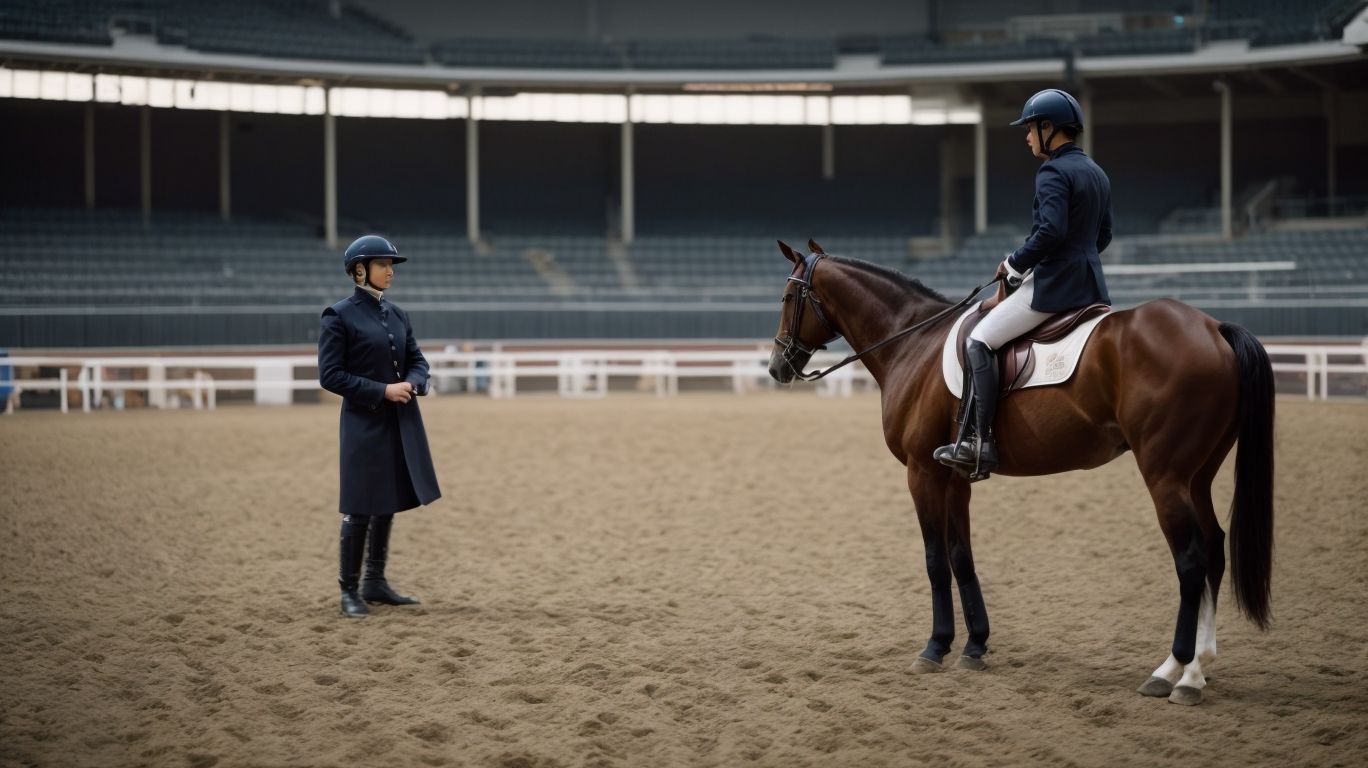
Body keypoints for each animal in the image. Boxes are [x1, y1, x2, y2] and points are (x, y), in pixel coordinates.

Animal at [767, 239, 1274, 706]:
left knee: (1190, 560)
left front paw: (934, 648)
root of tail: (1213, 328)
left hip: (1165, 476)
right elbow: (961, 556)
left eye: (789, 296)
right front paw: (973, 646)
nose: (776, 367)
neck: (913, 344)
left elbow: (934, 561)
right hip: (1197, 475)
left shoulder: (921, 473)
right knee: (1214, 550)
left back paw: (1170, 671)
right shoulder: (954, 476)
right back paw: (1196, 672)